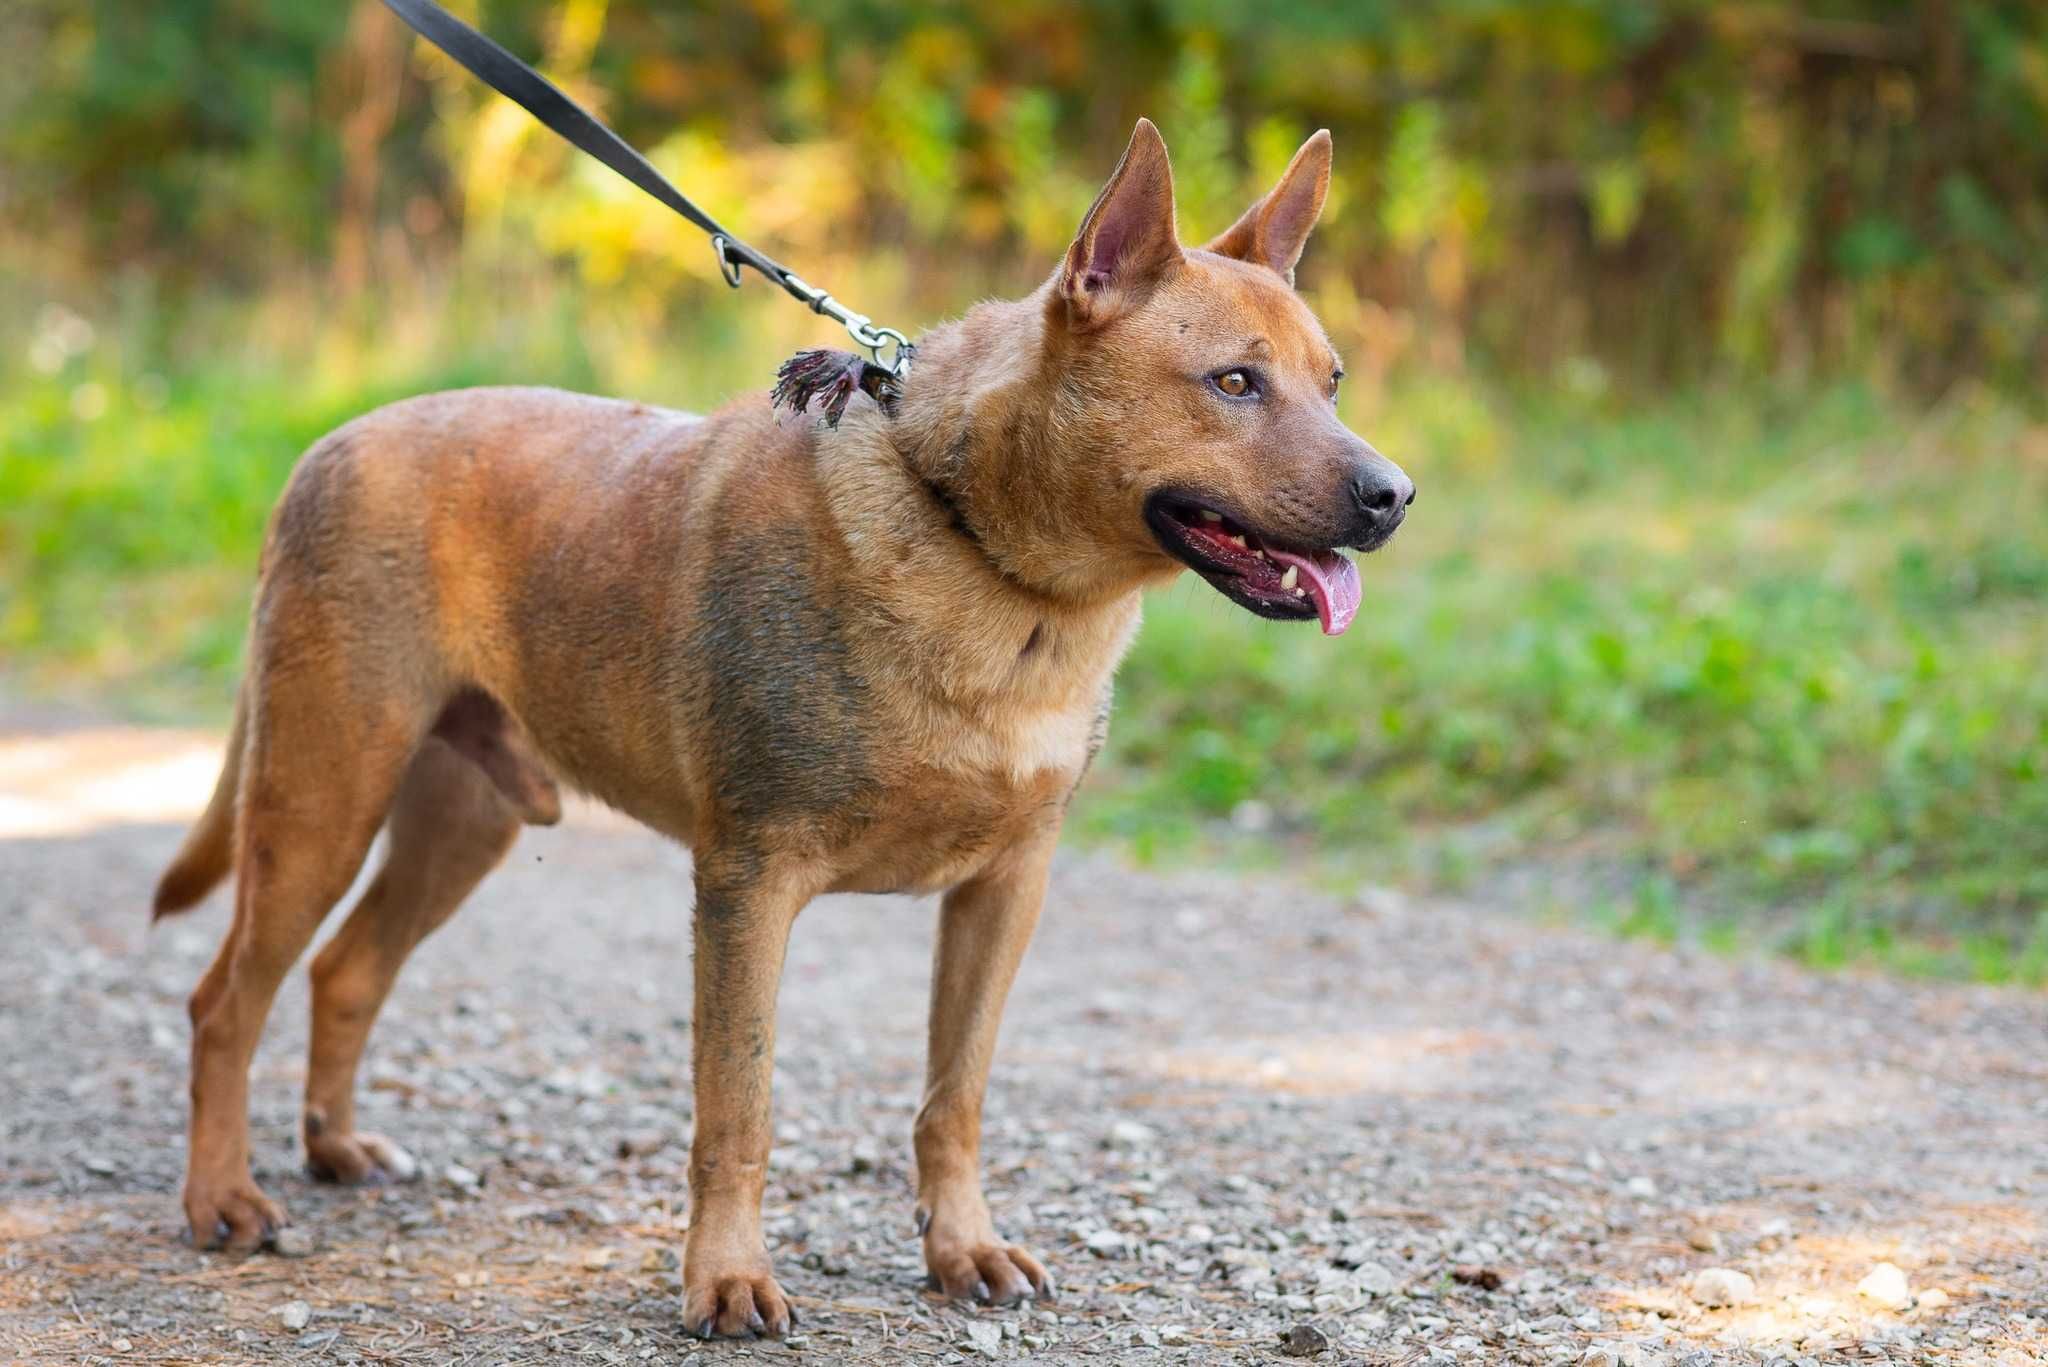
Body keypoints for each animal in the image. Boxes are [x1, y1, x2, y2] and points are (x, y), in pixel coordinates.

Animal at [155, 117, 1409, 1336]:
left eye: (1333, 381)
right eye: (1233, 381)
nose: (1393, 495)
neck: (988, 562)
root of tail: (324, 448)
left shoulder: (1005, 888)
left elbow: (953, 1094)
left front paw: (962, 1249)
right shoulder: (747, 885)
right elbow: (738, 1105)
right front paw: (724, 1278)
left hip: (462, 820)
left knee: (344, 970)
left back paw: (334, 1147)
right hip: (320, 799)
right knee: (227, 998)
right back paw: (223, 1198)